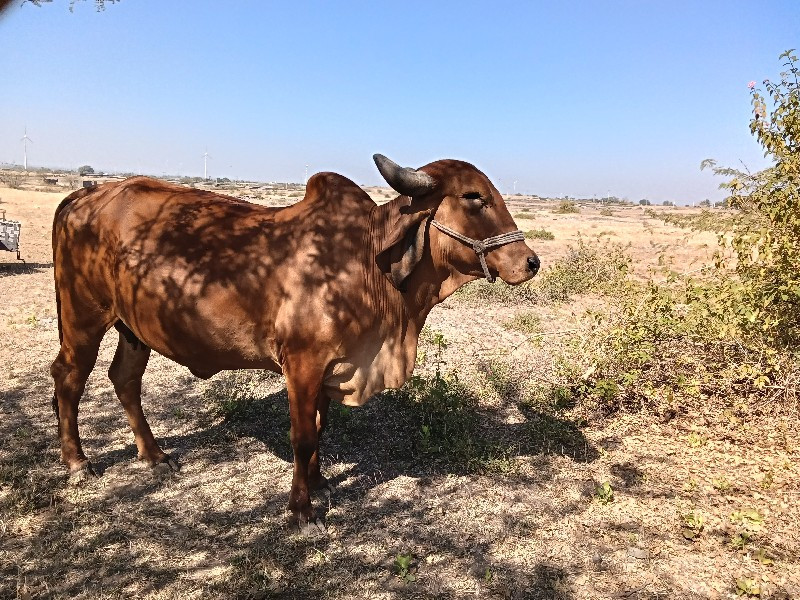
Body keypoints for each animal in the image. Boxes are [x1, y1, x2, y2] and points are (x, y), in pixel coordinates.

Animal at [50, 154, 536, 528]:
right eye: (474, 197)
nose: (530, 261)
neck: (368, 263)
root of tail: (82, 196)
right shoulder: (302, 364)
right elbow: (302, 436)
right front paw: (302, 510)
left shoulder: (331, 367)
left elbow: (320, 429)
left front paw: (319, 483)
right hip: (83, 317)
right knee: (68, 377)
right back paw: (77, 463)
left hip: (133, 328)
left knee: (124, 379)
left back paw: (153, 455)